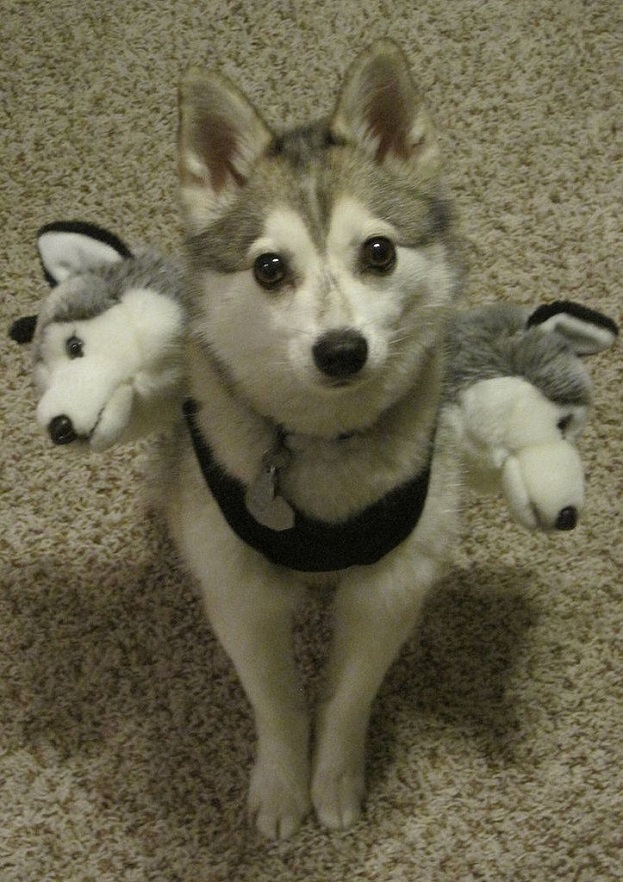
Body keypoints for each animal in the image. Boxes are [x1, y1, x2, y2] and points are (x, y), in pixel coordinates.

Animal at [163, 41, 466, 836]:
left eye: (379, 252)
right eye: (270, 267)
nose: (341, 351)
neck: (324, 443)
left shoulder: (392, 584)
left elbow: (349, 694)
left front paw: (332, 776)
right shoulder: (238, 588)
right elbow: (273, 698)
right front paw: (280, 784)